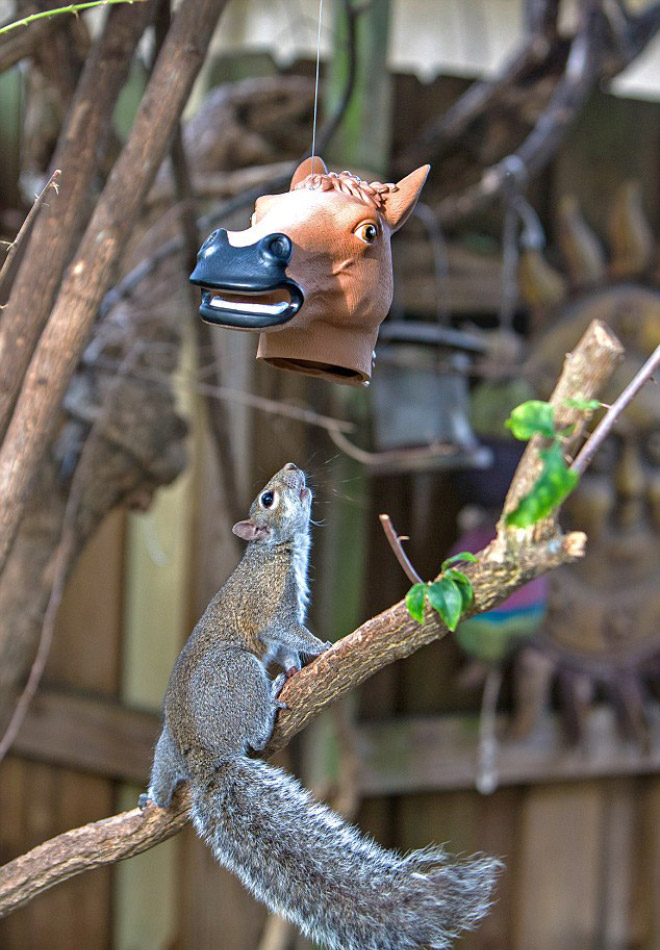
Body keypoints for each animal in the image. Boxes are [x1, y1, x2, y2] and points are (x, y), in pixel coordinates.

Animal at [141, 462, 500, 950]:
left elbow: (287, 649)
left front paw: (296, 666)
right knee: (255, 734)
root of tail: (203, 759)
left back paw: (154, 797)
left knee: (164, 777)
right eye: (268, 498)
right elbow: (290, 634)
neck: (273, 552)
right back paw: (271, 701)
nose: (294, 468)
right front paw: (323, 648)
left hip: (168, 747)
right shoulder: (273, 608)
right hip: (235, 672)